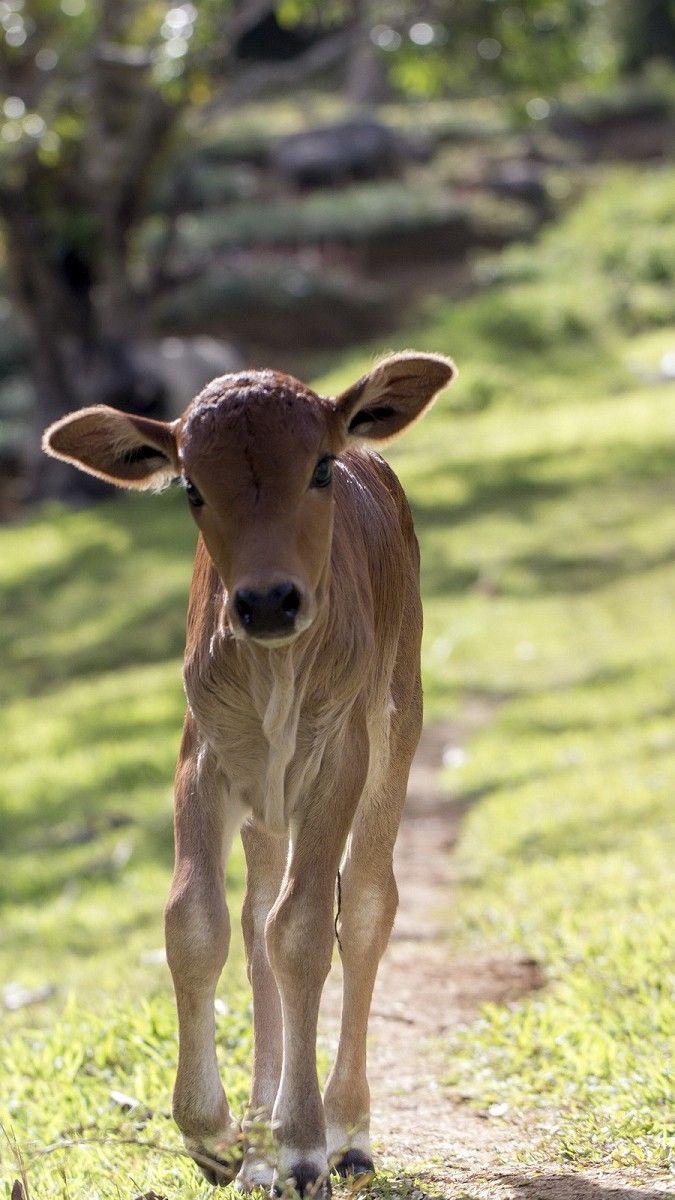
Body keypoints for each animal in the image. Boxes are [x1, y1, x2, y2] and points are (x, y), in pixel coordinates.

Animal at [42, 351, 456, 1197]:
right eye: (192, 488)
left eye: (319, 468)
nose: (267, 602)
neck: (275, 675)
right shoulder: (202, 754)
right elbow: (195, 921)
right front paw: (218, 1135)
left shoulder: (338, 758)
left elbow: (306, 928)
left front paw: (302, 1145)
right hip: (267, 800)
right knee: (256, 913)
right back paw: (262, 1143)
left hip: (397, 722)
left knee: (367, 904)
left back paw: (346, 1132)